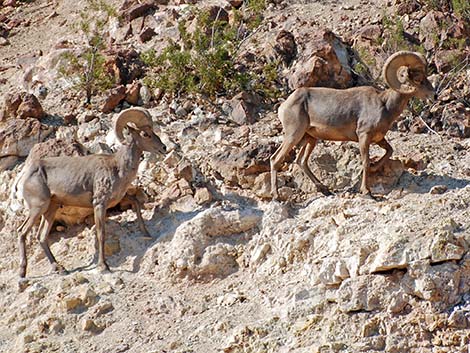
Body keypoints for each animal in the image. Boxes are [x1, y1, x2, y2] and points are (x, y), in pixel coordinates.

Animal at [16, 106, 167, 276]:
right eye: (145, 134)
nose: (164, 148)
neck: (118, 168)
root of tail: (26, 175)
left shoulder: (118, 199)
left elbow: (136, 203)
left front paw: (146, 233)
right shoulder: (99, 204)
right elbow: (101, 234)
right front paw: (104, 266)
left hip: (51, 209)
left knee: (41, 237)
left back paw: (60, 269)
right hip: (38, 207)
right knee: (22, 232)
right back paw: (22, 273)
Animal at [270, 50, 436, 198]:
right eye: (418, 78)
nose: (434, 95)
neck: (384, 105)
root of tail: (284, 105)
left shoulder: (379, 139)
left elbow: (389, 150)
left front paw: (375, 168)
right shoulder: (364, 137)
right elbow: (365, 162)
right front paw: (366, 191)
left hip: (310, 138)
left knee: (301, 161)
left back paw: (324, 189)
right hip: (294, 135)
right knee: (276, 159)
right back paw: (276, 196)